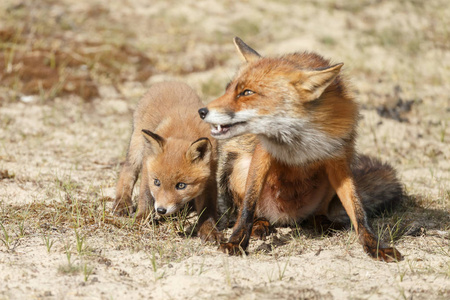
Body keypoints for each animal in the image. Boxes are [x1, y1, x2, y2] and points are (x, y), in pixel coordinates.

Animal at [114, 81, 221, 243]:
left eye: (181, 185)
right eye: (157, 182)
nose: (161, 210)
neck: (183, 132)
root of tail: (168, 81)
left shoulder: (210, 176)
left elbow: (207, 209)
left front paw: (209, 230)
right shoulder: (147, 166)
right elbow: (145, 196)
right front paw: (142, 219)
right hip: (137, 150)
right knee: (127, 173)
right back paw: (122, 203)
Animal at [199, 38, 402, 260]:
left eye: (247, 92)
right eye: (228, 89)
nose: (202, 111)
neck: (300, 139)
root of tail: (287, 219)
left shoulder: (338, 159)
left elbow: (357, 209)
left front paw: (375, 245)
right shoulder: (262, 152)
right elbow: (247, 207)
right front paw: (237, 241)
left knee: (318, 215)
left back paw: (321, 222)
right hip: (240, 167)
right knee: (246, 209)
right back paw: (260, 224)